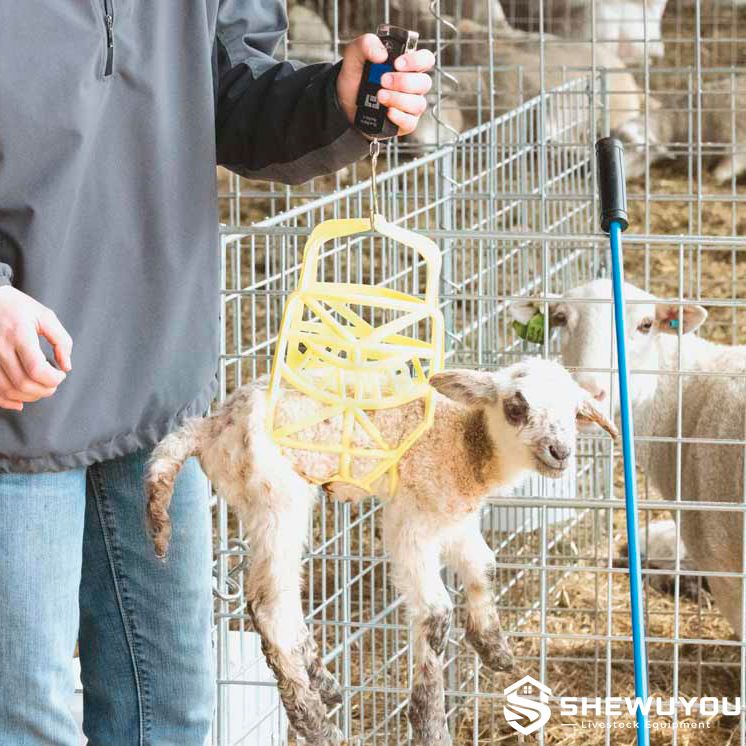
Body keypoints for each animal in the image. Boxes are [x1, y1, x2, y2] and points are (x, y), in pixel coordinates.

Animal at [145, 357, 617, 746]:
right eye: (516, 406)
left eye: (575, 413)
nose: (560, 452)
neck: (467, 441)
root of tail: (211, 425)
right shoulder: (411, 518)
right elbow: (435, 612)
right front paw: (429, 726)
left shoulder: (454, 514)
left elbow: (483, 565)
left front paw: (493, 646)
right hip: (276, 495)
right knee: (269, 606)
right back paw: (316, 724)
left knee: (282, 598)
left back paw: (323, 681)